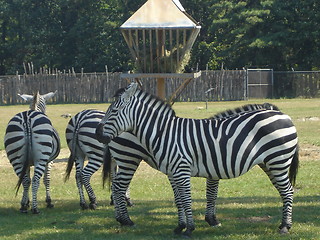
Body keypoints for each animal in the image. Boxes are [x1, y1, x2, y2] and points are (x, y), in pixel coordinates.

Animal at [95, 83, 300, 237]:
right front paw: (181, 226)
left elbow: (189, 199)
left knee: (287, 191)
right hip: (270, 163)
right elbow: (180, 200)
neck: (164, 133)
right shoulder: (173, 172)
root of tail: (283, 115)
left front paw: (190, 228)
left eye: (114, 110)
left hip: (278, 161)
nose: (97, 133)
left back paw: (285, 227)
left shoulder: (183, 170)